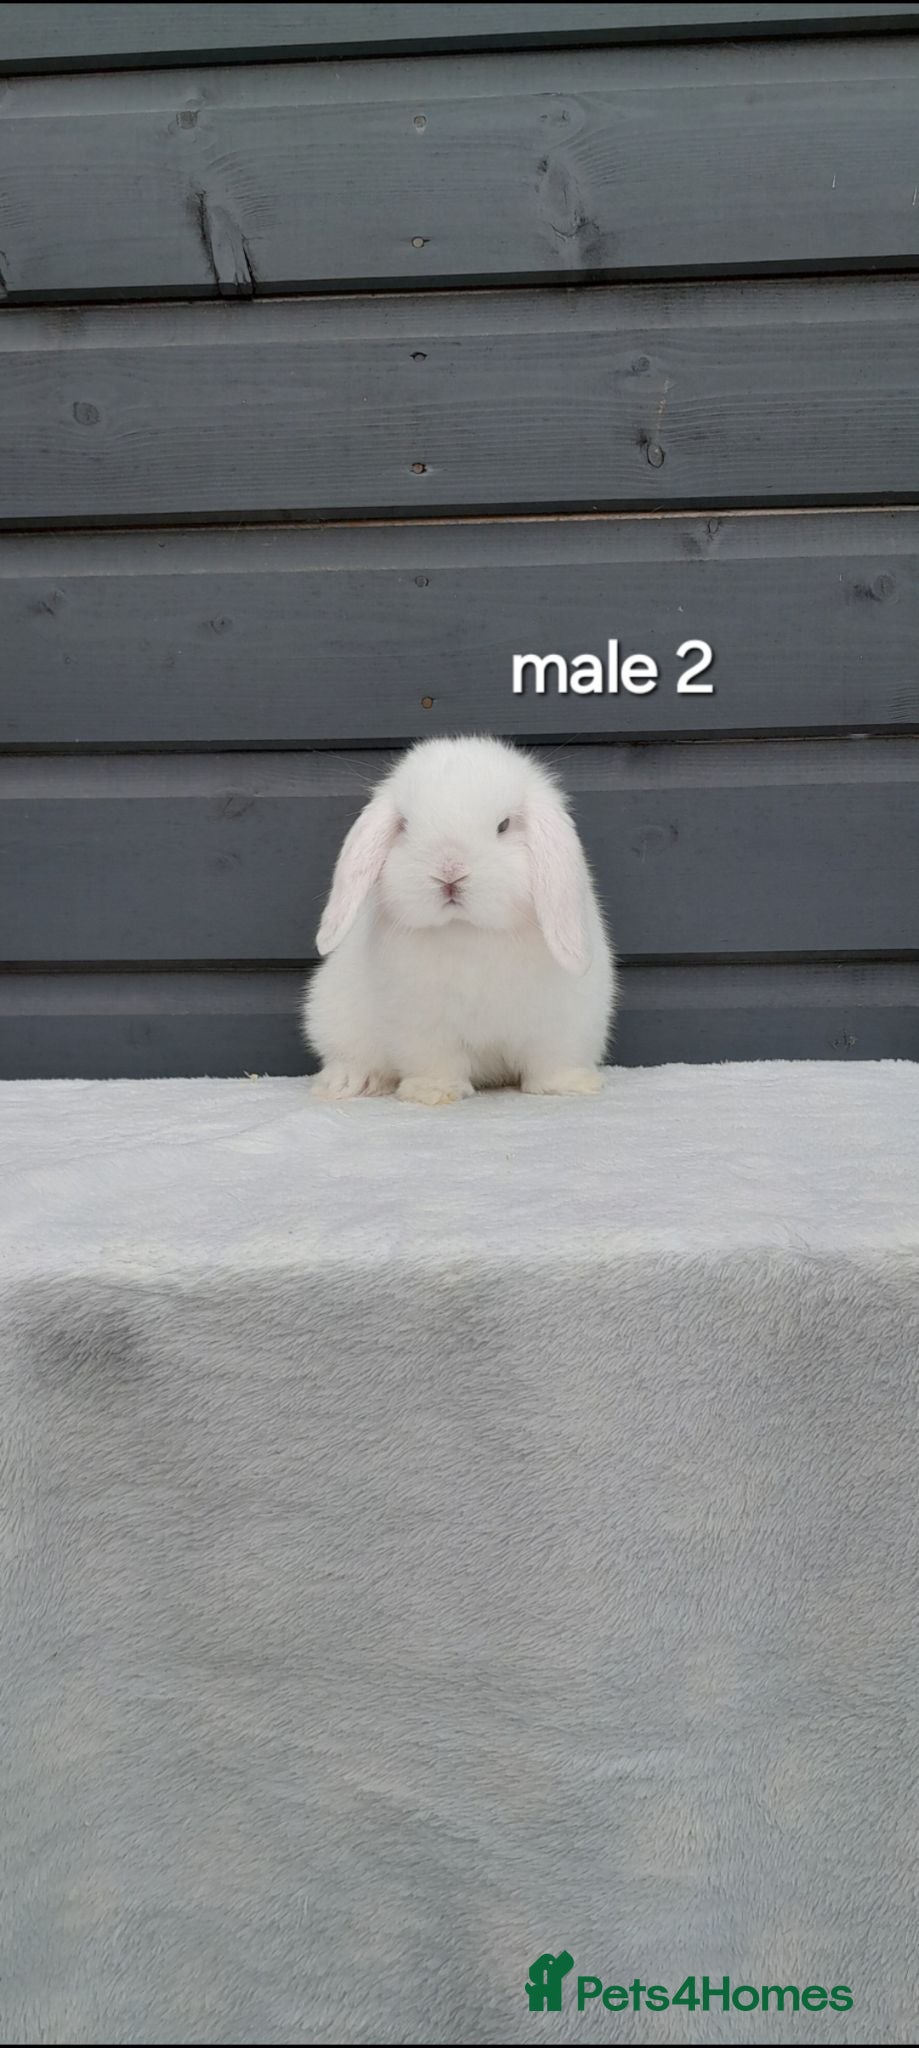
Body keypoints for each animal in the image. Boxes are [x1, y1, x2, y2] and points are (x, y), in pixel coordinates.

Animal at [304, 735, 615, 1106]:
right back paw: (349, 1081)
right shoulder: (423, 1024)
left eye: (504, 825)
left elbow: (554, 1059)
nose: (449, 873)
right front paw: (433, 1092)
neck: (468, 930)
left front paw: (568, 1085)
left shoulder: (563, 1022)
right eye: (404, 825)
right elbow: (435, 1060)